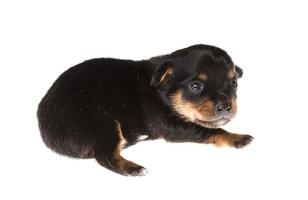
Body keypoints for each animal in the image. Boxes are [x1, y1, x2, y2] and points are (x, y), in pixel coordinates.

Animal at [37, 44, 253, 176]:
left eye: (234, 83)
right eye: (196, 86)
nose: (226, 106)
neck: (162, 92)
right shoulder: (171, 125)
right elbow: (210, 129)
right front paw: (238, 137)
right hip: (101, 122)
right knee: (105, 156)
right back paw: (133, 168)